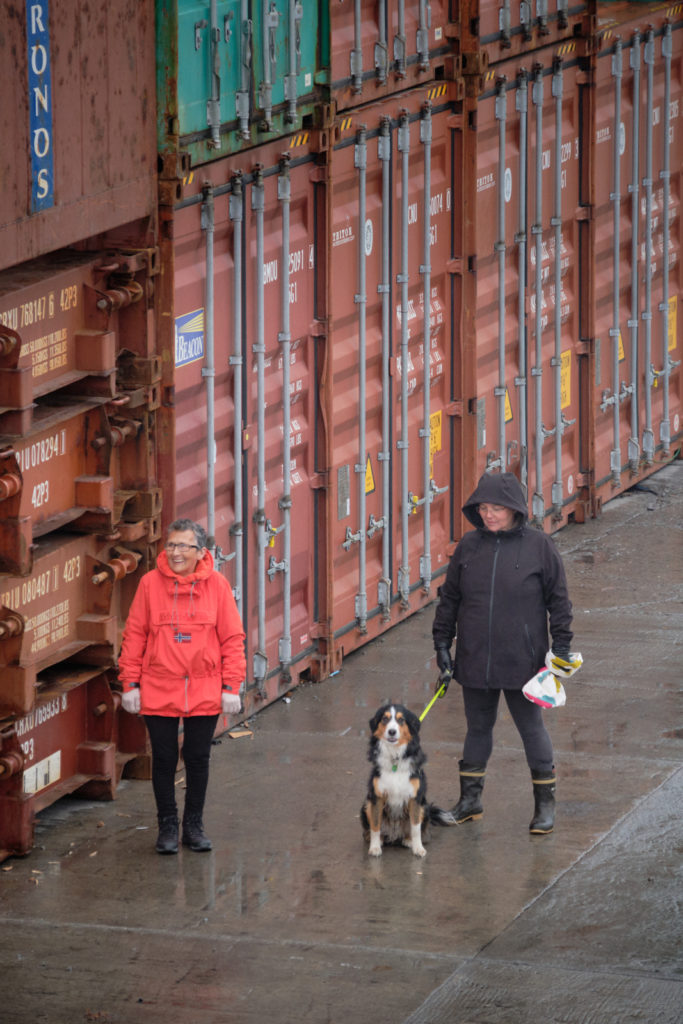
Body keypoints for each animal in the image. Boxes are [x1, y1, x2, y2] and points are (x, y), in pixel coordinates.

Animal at [360, 704, 450, 856]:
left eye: (401, 720)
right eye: (384, 719)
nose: (391, 732)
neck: (395, 757)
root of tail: (395, 834)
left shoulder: (415, 798)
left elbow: (415, 827)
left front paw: (418, 848)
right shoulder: (377, 797)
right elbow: (375, 825)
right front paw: (375, 847)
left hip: (424, 807)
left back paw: (408, 840)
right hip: (366, 805)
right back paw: (379, 839)